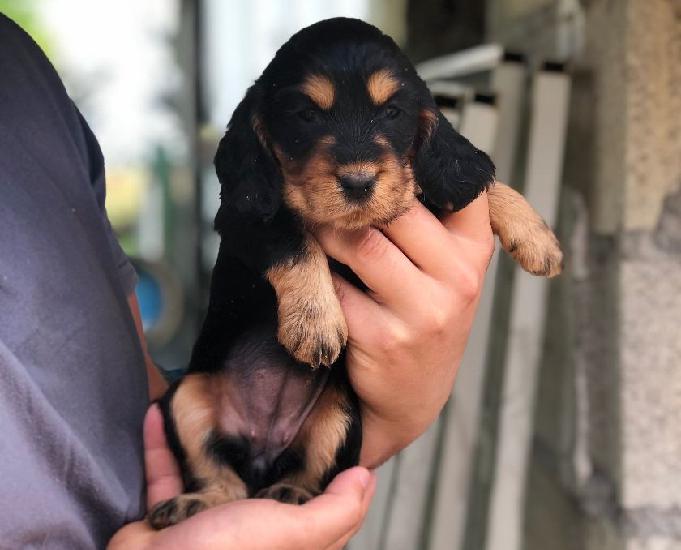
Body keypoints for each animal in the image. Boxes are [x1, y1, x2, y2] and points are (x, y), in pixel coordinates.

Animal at [146, 17, 560, 532]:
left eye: (393, 113)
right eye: (306, 117)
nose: (359, 183)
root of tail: (263, 454)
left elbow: (480, 186)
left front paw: (538, 238)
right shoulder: (244, 216)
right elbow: (294, 240)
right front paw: (315, 323)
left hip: (340, 414)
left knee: (302, 472)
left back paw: (290, 493)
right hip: (187, 397)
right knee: (223, 480)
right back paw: (194, 503)